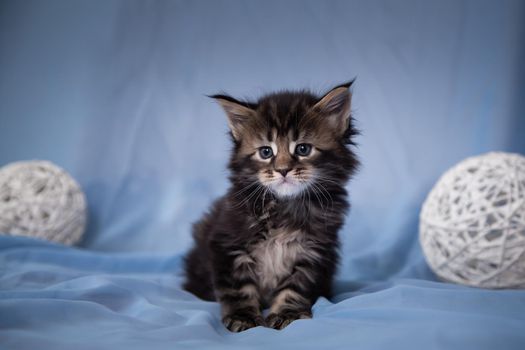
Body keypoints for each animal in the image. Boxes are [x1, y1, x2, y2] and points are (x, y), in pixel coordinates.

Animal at [182, 80, 358, 332]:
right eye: (266, 152)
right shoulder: (227, 242)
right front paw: (243, 316)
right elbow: (238, 288)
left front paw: (287, 313)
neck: (284, 206)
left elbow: (296, 286)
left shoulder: (316, 251)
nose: (283, 170)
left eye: (303, 149)